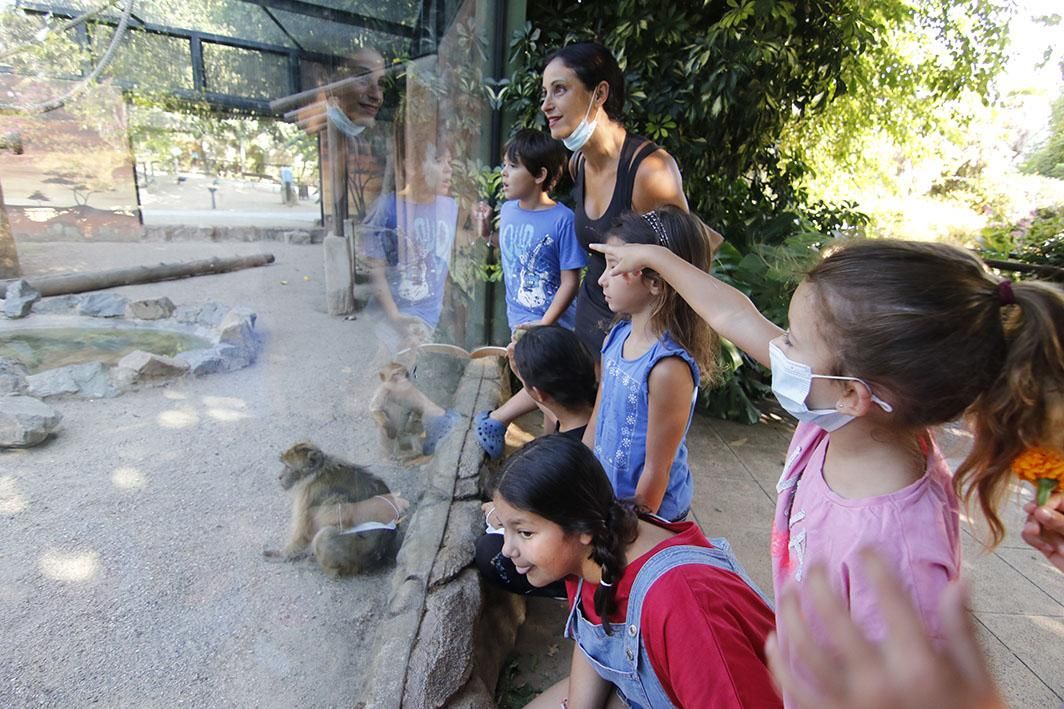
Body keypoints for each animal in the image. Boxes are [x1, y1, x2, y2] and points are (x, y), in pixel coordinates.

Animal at [264, 442, 406, 574]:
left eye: (288, 466)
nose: (280, 477)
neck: (317, 472)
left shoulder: (310, 493)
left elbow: (304, 531)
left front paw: (282, 554)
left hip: (356, 551)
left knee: (325, 535)